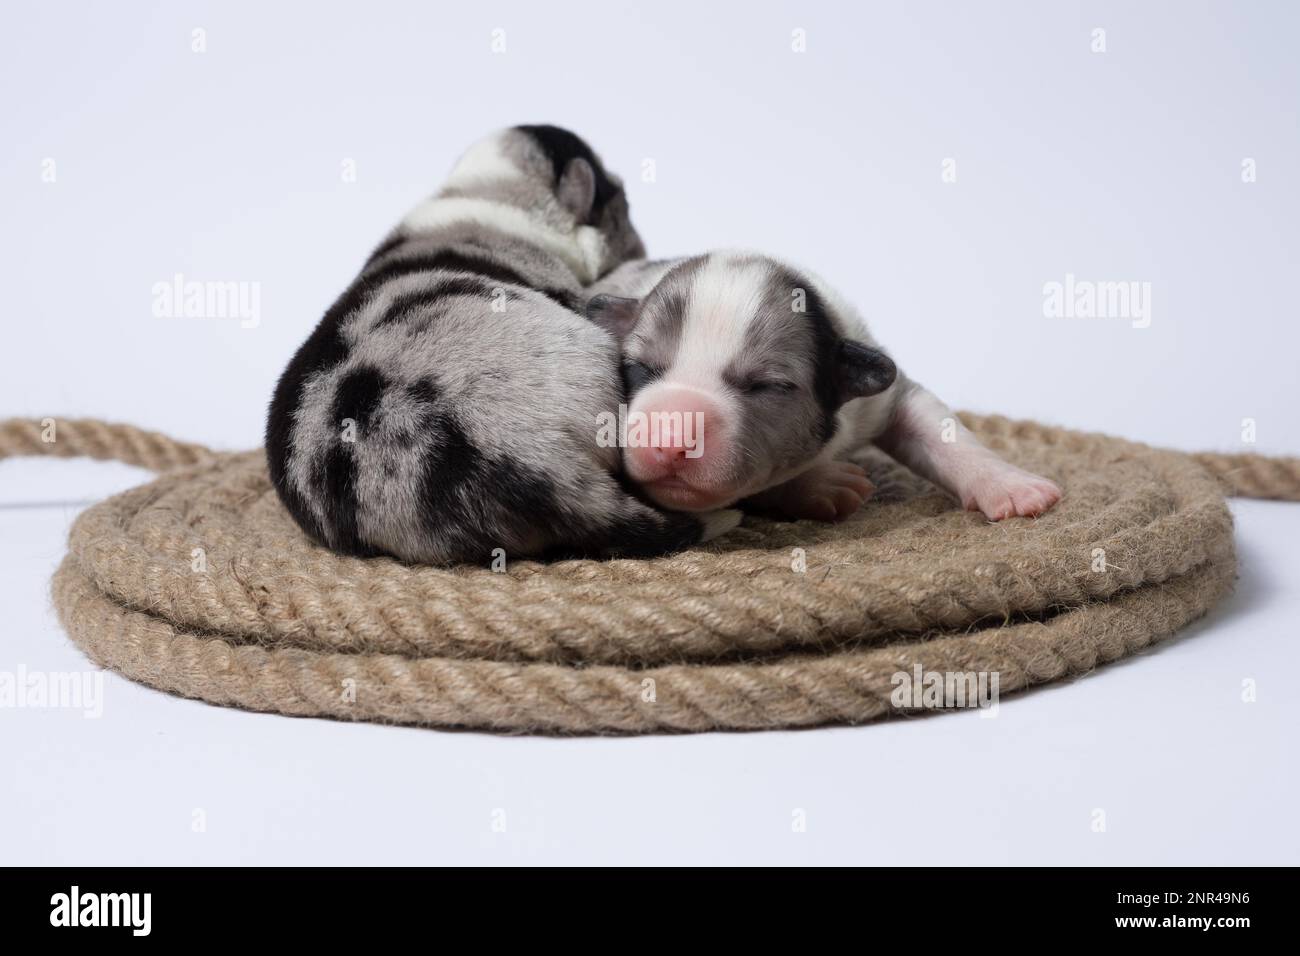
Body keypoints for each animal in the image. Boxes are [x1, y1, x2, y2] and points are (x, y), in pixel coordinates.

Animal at [590, 251, 1055, 528]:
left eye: (768, 385)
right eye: (637, 367)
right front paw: (822, 484)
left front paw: (1012, 486)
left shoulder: (881, 393)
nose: (670, 440)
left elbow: (938, 430)